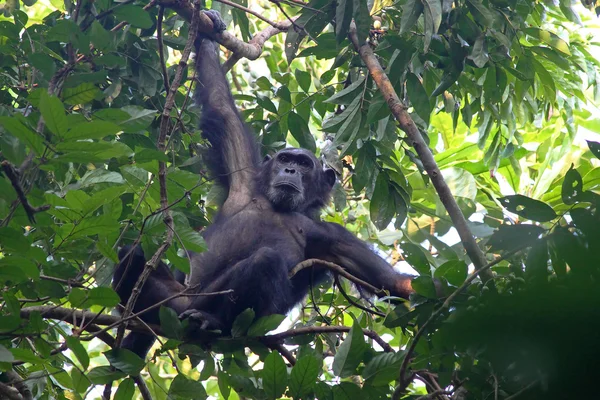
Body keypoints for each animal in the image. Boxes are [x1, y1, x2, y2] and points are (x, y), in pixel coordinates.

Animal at [112, 10, 414, 358]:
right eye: (285, 158)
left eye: (304, 164)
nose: (290, 169)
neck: (278, 207)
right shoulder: (243, 174)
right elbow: (221, 107)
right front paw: (208, 30)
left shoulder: (335, 238)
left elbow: (387, 281)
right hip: (168, 301)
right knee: (131, 254)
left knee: (264, 261)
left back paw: (210, 322)